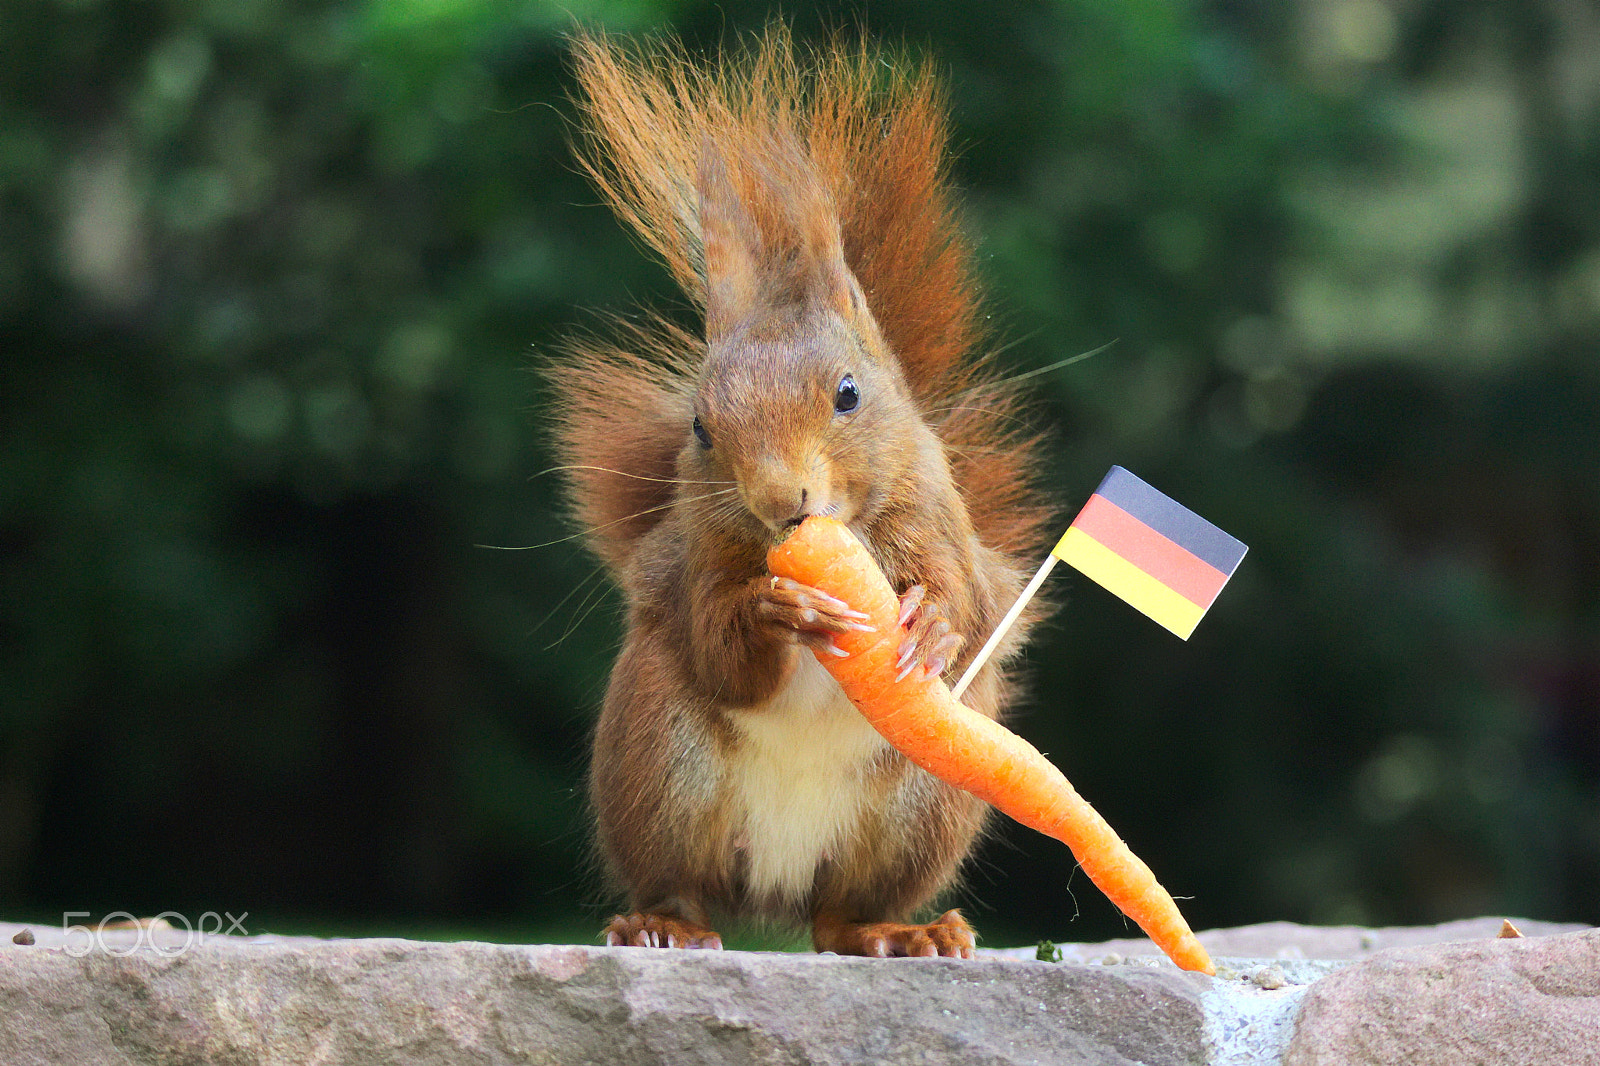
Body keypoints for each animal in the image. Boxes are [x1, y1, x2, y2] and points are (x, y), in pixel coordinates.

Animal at [550, 27, 1062, 953]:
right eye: (701, 428)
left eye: (849, 393)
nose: (779, 499)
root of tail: (776, 886)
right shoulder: (703, 559)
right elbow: (723, 655)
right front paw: (770, 609)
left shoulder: (937, 521)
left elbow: (967, 600)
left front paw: (931, 623)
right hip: (658, 759)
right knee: (685, 884)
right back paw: (662, 925)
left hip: (921, 809)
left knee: (842, 916)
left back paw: (905, 934)